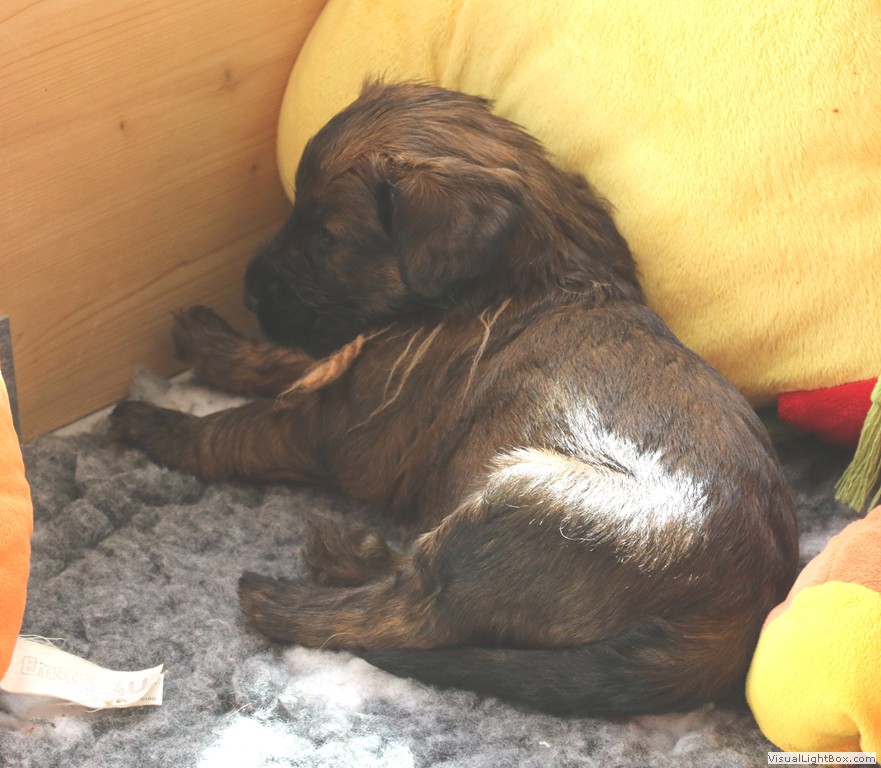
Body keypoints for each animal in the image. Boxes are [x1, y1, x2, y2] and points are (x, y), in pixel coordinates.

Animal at [111, 81, 799, 715]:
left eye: (328, 236)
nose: (249, 294)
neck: (521, 275)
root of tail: (738, 622)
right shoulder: (357, 368)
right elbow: (290, 362)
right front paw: (208, 340)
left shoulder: (342, 425)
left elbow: (240, 427)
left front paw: (153, 422)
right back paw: (349, 551)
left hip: (521, 502)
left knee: (414, 613)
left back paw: (278, 598)